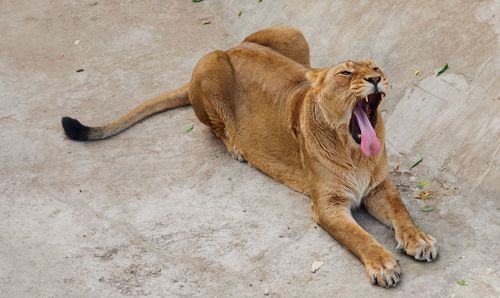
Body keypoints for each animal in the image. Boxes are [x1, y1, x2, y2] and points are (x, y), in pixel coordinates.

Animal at [61, 26, 438, 288]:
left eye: (375, 66)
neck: (354, 150)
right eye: (346, 73)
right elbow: (359, 237)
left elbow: (401, 212)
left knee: (306, 68)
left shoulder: (378, 186)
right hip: (209, 63)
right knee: (214, 128)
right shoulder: (327, 205)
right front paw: (383, 264)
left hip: (291, 33)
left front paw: (419, 239)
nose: (376, 78)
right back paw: (237, 147)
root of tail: (233, 46)